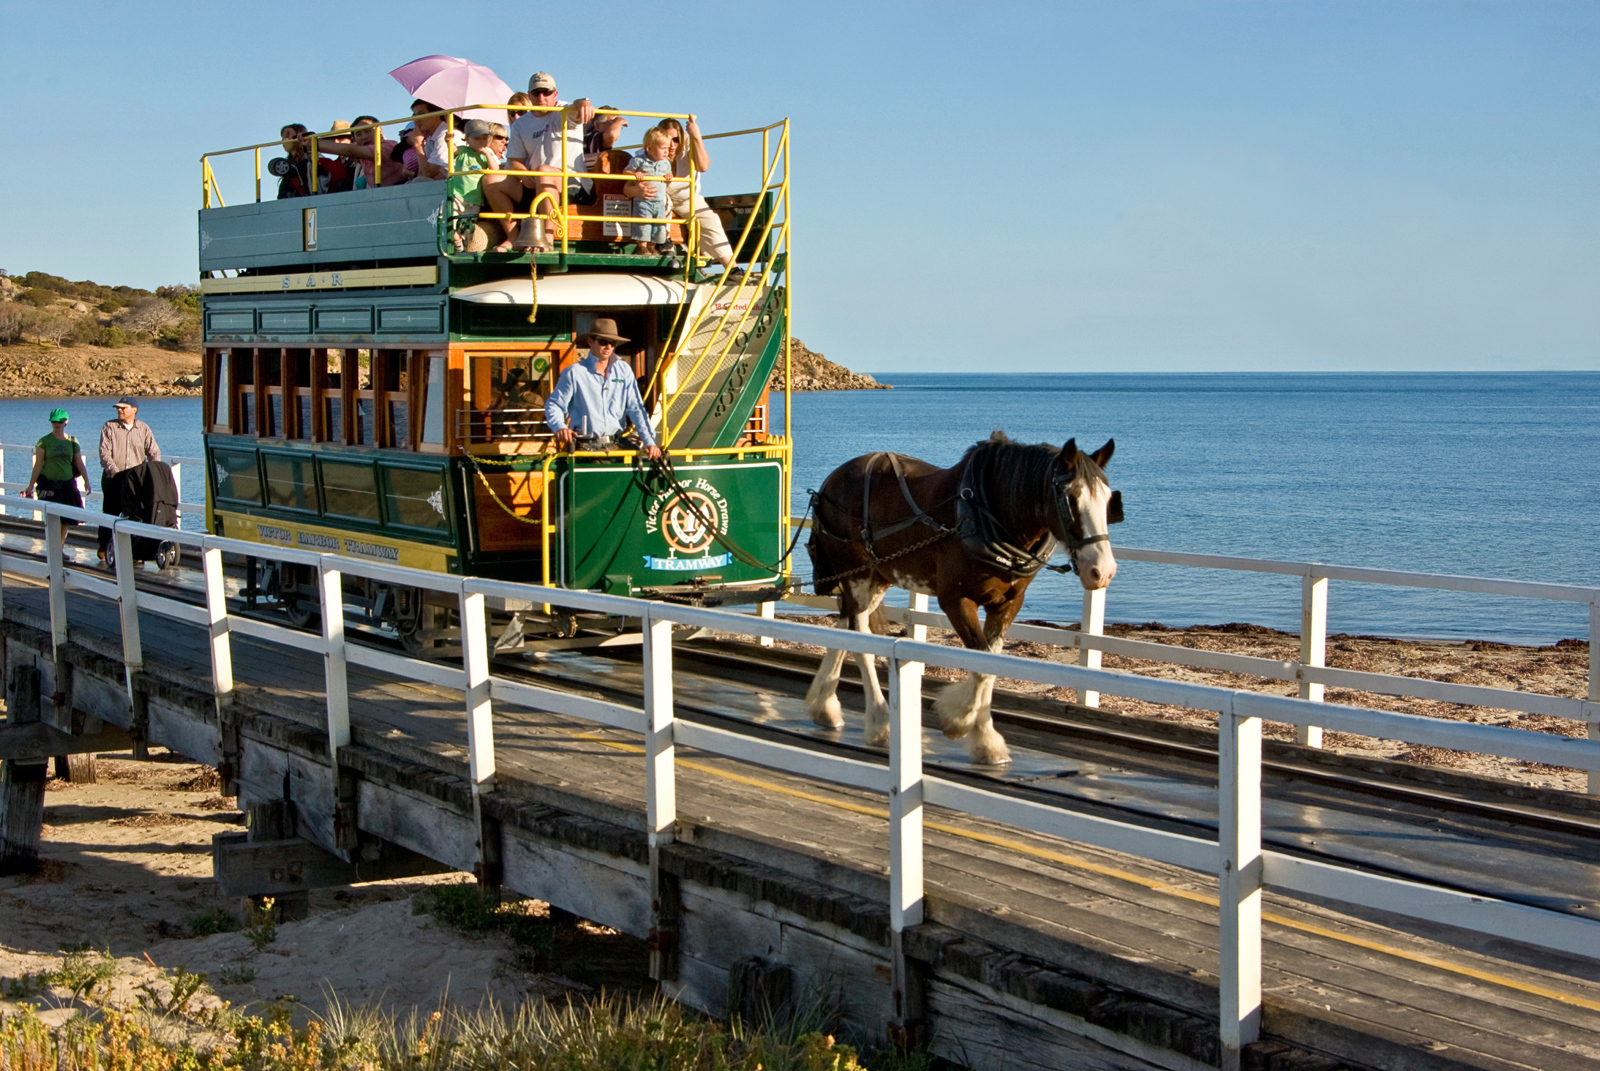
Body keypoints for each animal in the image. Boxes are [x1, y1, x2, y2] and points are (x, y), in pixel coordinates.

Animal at [806, 429, 1120, 765]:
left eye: (1107, 499)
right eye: (1071, 499)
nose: (1102, 570)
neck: (987, 514)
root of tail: (831, 481)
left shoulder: (1008, 604)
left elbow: (990, 665)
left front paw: (983, 738)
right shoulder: (956, 600)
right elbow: (980, 668)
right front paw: (964, 726)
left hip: (877, 578)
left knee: (846, 627)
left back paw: (824, 706)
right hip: (856, 574)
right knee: (861, 641)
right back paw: (879, 723)